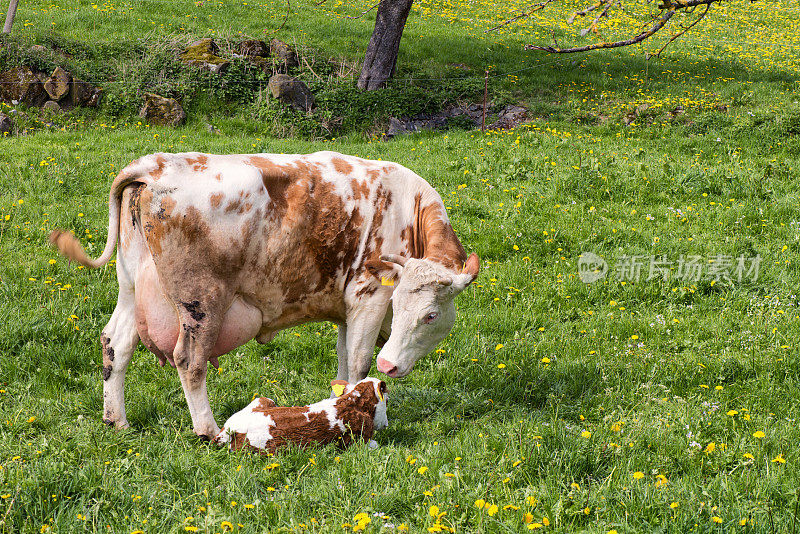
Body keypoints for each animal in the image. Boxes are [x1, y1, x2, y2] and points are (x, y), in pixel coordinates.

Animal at [53, 151, 484, 440]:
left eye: (429, 315)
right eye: (412, 309)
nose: (390, 364)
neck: (407, 209)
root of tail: (154, 164)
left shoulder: (345, 309)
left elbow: (344, 363)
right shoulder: (368, 296)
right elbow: (360, 362)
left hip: (131, 287)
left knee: (116, 343)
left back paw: (117, 420)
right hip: (201, 302)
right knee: (190, 361)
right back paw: (208, 429)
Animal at [212, 376, 388, 456]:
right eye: (387, 399)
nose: (386, 425)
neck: (353, 403)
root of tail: (228, 429)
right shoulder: (361, 440)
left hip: (263, 399)